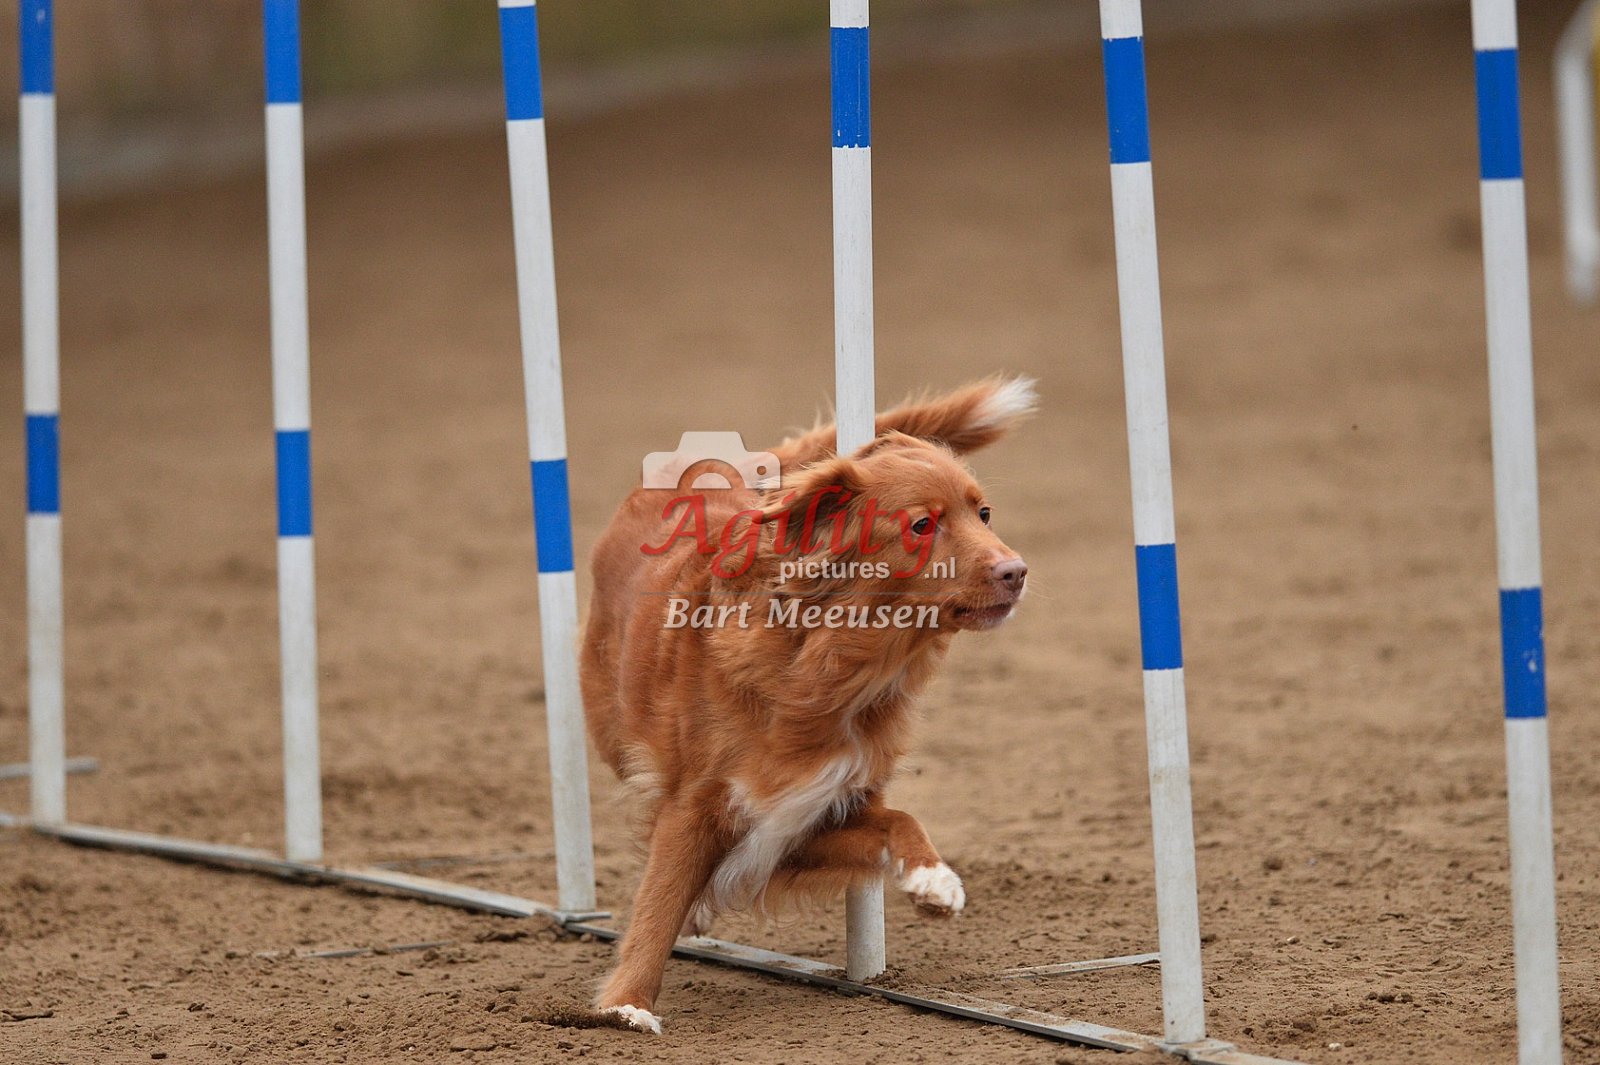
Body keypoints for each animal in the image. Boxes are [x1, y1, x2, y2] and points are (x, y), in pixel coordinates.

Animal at [579, 376, 1037, 1034]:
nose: (1016, 572)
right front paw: (627, 1005)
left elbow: (897, 819)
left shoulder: (806, 810)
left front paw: (933, 880)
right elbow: (659, 901)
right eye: (923, 524)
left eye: (984, 512)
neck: (829, 661)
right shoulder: (697, 802)